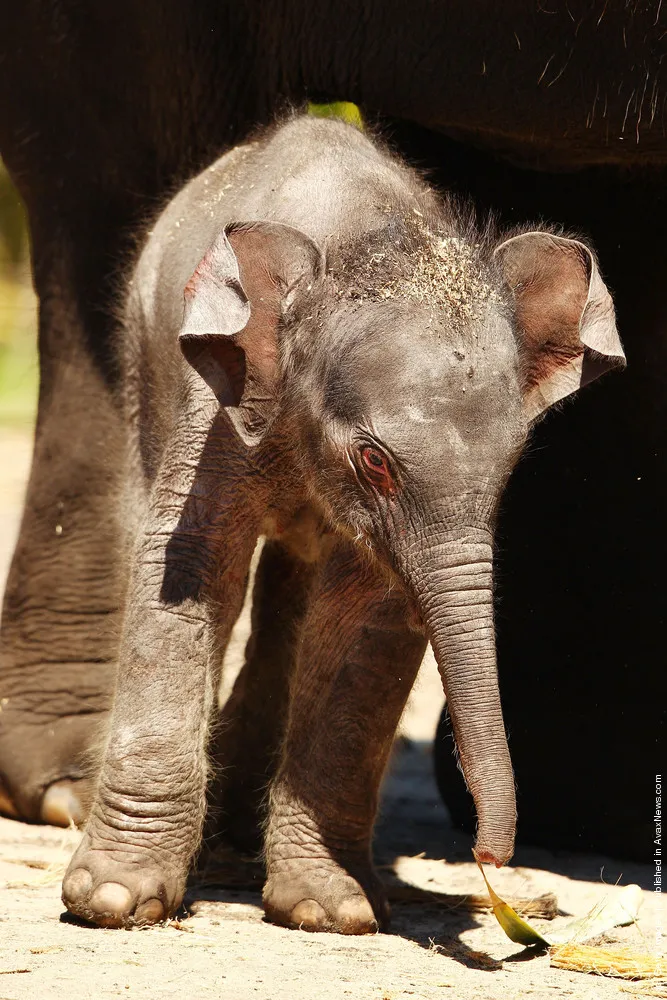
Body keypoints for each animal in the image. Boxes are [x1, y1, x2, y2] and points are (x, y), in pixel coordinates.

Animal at [0, 1, 663, 862]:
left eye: (509, 467)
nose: (489, 859)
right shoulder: (218, 412)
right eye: (373, 462)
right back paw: (71, 793)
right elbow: (195, 564)